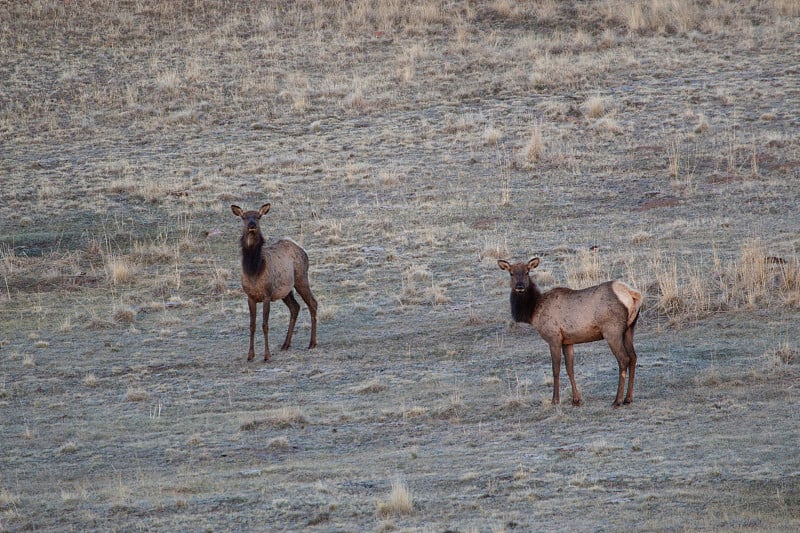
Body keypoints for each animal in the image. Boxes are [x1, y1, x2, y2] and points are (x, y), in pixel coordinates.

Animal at [230, 204, 318, 362]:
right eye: (244, 217)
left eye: (258, 216)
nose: (252, 225)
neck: (254, 270)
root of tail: (303, 250)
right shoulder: (250, 297)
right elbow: (252, 325)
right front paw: (250, 355)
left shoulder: (266, 295)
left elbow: (265, 325)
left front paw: (267, 355)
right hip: (286, 290)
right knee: (295, 307)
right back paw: (285, 344)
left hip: (301, 278)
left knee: (313, 303)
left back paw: (312, 343)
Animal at [496, 258, 640, 408]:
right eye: (511, 273)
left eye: (527, 272)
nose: (520, 286)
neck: (533, 312)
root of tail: (632, 294)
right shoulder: (567, 341)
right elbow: (570, 368)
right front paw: (576, 400)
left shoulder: (553, 337)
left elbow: (556, 369)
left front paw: (555, 400)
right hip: (629, 328)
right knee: (633, 357)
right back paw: (628, 398)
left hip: (612, 330)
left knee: (624, 359)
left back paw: (617, 400)